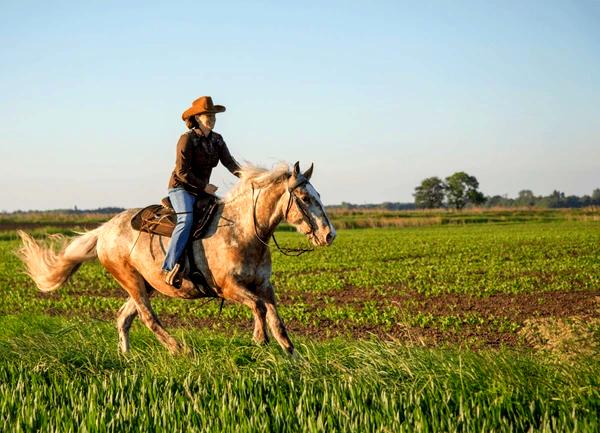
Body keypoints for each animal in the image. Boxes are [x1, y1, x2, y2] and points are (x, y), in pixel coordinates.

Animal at [18, 162, 336, 354]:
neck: (242, 231)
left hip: (145, 285)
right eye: (305, 198)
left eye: (319, 194)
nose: (329, 235)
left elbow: (276, 320)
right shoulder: (229, 288)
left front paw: (292, 356)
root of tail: (104, 230)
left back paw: (126, 357)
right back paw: (178, 349)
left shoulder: (264, 286)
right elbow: (258, 308)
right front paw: (259, 340)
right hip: (131, 281)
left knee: (124, 318)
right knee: (148, 319)